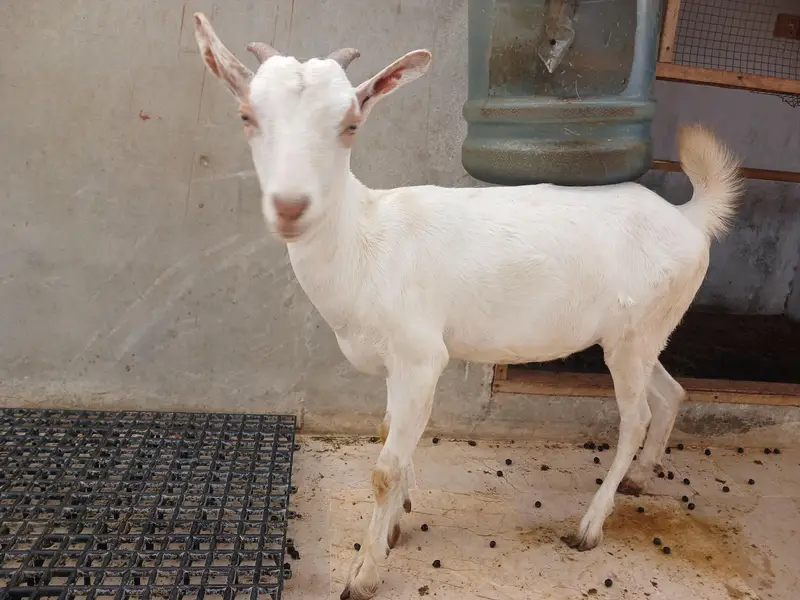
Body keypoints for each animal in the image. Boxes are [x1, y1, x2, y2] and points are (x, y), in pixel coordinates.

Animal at [193, 13, 743, 600]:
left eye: (351, 124)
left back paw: (590, 526)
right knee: (671, 392)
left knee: (635, 417)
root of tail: (689, 217)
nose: (291, 207)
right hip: (640, 332)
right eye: (247, 115)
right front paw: (398, 523)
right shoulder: (394, 365)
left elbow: (384, 469)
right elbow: (389, 434)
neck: (365, 241)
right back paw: (640, 477)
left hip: (633, 336)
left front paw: (364, 573)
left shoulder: (419, 356)